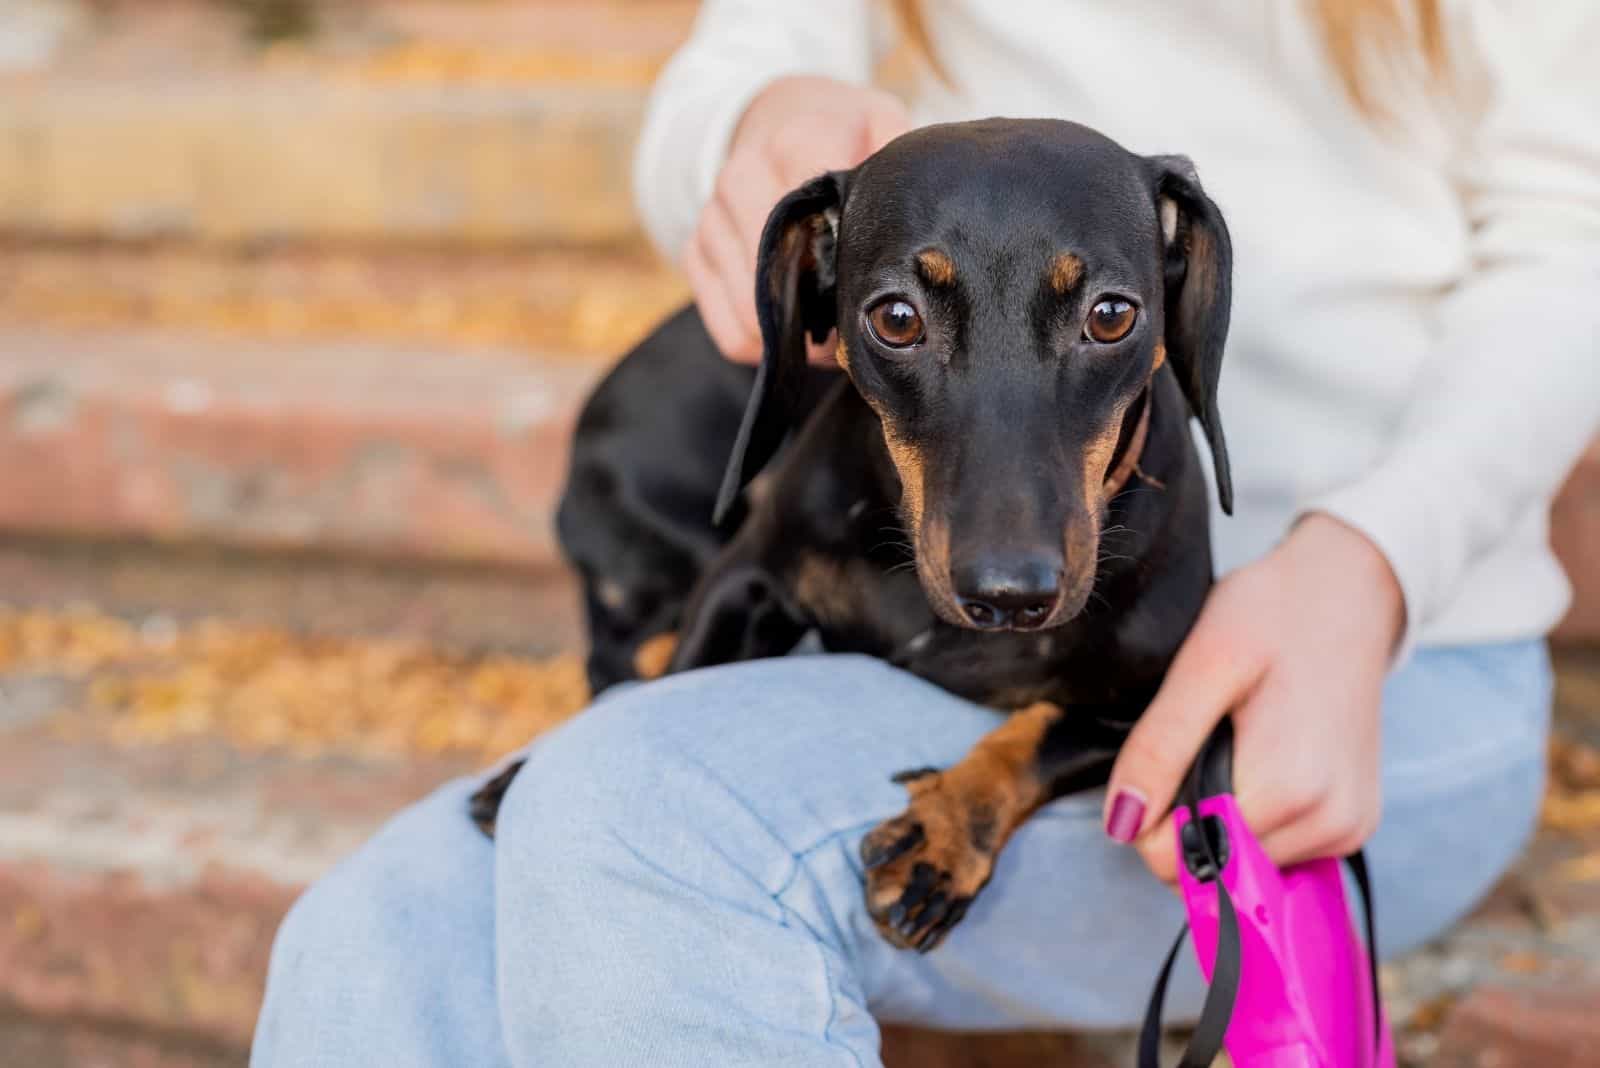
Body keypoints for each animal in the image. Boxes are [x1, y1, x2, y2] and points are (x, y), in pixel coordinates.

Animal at [467, 116, 1228, 952]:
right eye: (896, 318)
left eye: (1112, 315)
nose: (1009, 595)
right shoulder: (746, 577)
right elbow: (678, 677)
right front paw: (531, 771)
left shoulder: (1158, 704)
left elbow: (1038, 733)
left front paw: (941, 834)